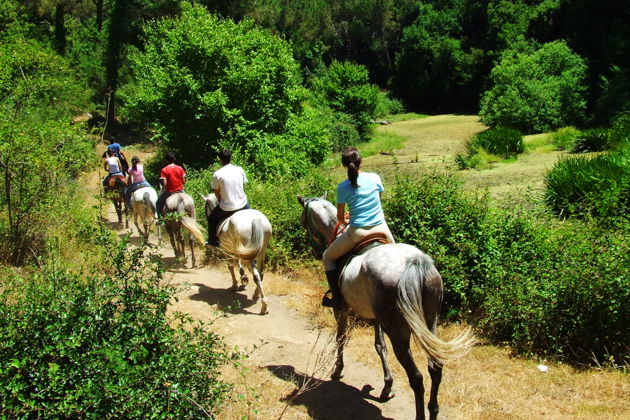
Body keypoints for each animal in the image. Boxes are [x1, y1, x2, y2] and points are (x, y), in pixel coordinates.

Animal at [298, 195, 476, 420]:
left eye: (303, 221)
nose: (315, 251)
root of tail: (415, 263)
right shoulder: (377, 318)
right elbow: (379, 345)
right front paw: (386, 386)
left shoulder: (342, 309)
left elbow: (341, 338)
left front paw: (338, 370)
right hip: (429, 322)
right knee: (435, 367)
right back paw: (433, 410)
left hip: (398, 331)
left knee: (416, 377)